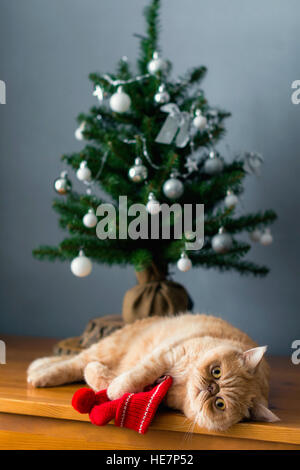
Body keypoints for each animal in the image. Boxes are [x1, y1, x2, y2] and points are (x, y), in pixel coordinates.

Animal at [28, 314, 278, 432]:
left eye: (220, 404)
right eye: (216, 371)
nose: (211, 387)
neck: (183, 383)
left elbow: (108, 380)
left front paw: (108, 384)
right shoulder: (167, 354)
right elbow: (135, 375)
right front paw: (116, 387)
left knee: (83, 364)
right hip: (108, 347)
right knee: (72, 363)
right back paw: (39, 373)